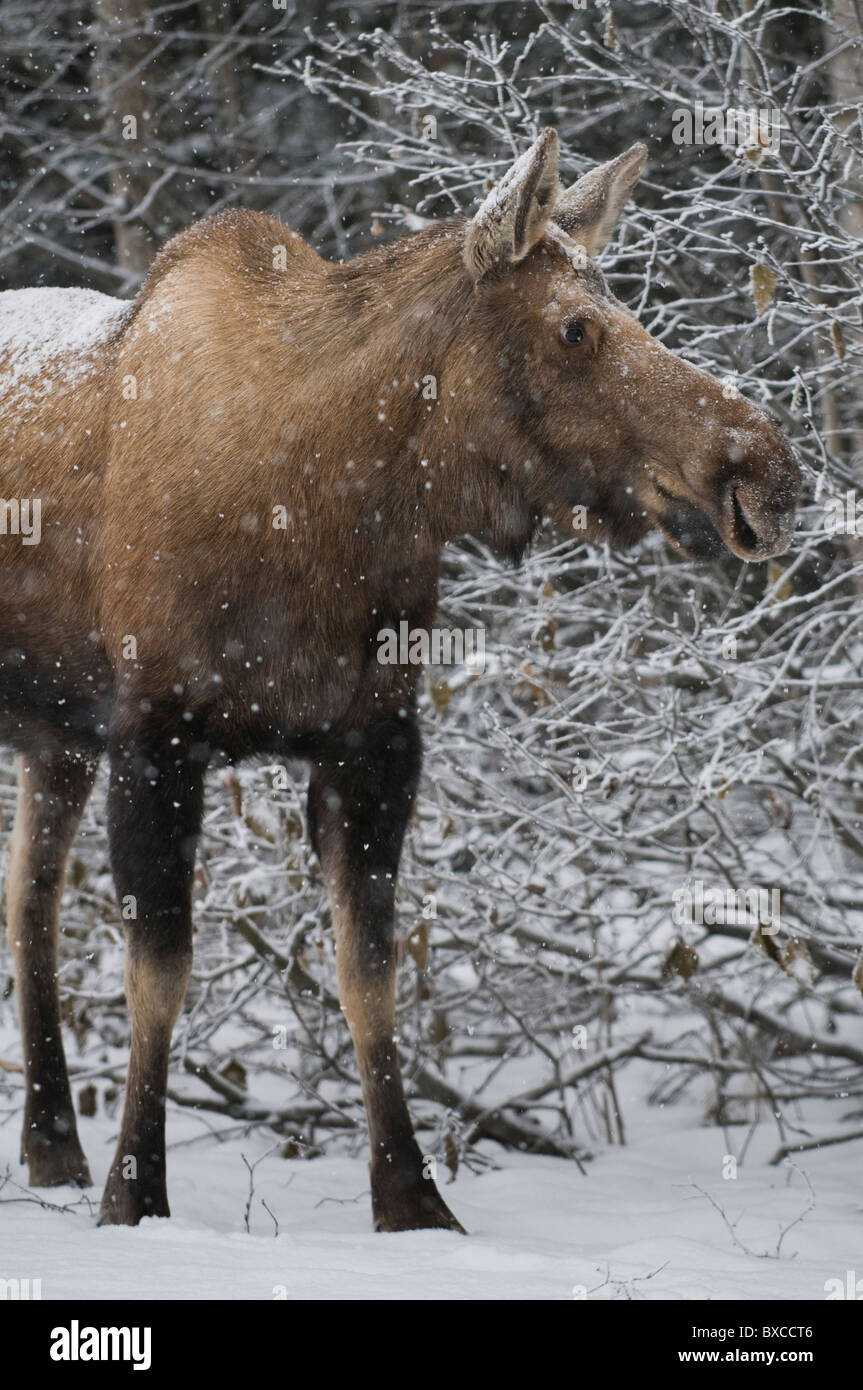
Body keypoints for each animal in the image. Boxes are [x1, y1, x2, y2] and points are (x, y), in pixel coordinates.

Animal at [0, 135, 794, 1234]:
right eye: (575, 326)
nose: (767, 472)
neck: (325, 503)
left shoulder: (374, 739)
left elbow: (367, 970)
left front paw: (412, 1199)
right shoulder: (156, 733)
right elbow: (158, 971)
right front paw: (134, 1194)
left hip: (55, 737)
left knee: (26, 900)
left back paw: (50, 1147)